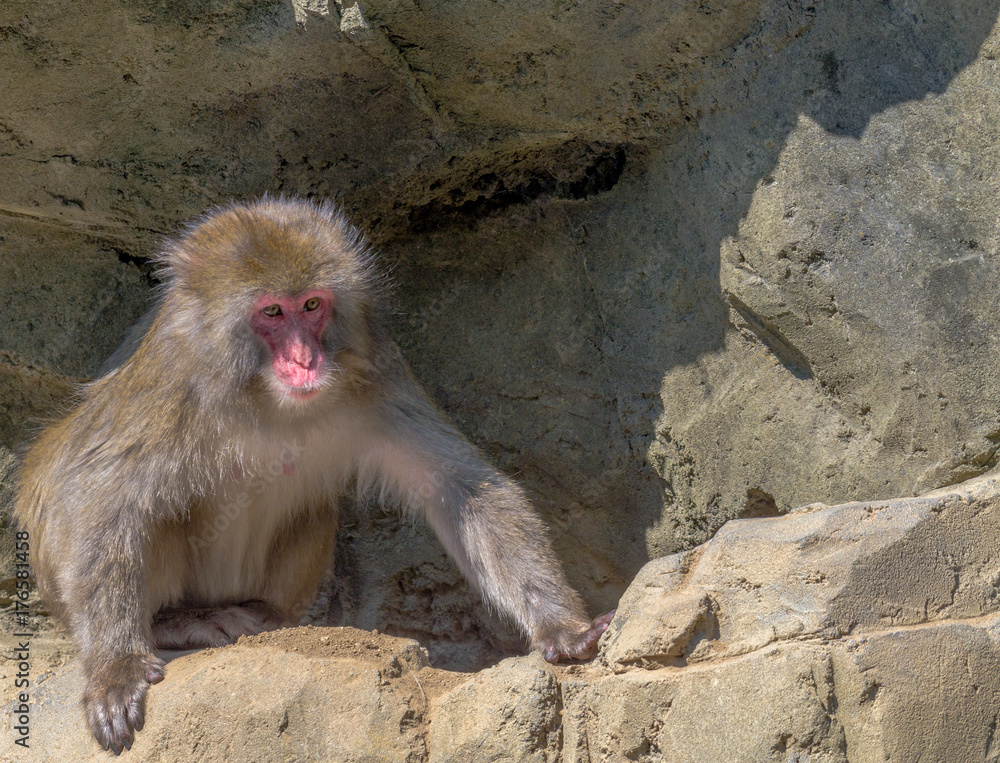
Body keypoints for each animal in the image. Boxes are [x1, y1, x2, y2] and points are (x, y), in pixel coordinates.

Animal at [14, 197, 614, 754]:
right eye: (272, 312)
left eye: (311, 305)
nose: (305, 360)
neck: (265, 398)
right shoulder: (170, 380)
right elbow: (97, 495)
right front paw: (115, 668)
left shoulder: (374, 371)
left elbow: (461, 487)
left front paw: (563, 627)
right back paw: (173, 622)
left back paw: (266, 613)